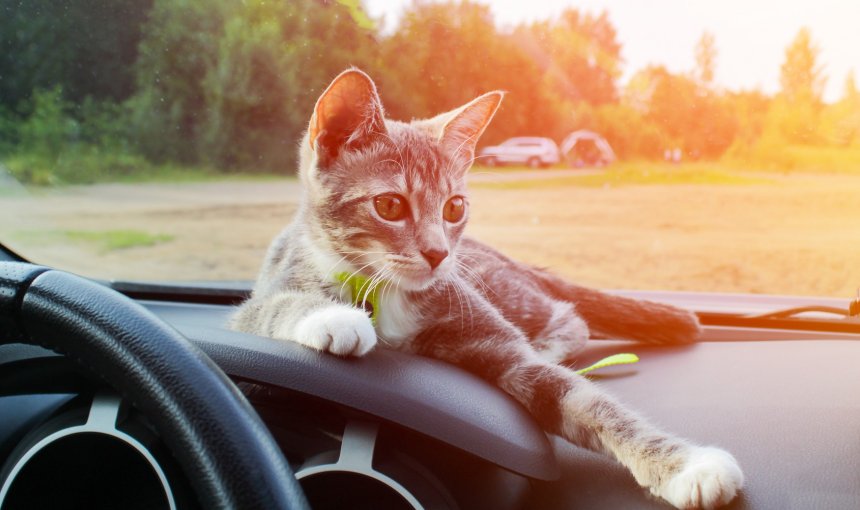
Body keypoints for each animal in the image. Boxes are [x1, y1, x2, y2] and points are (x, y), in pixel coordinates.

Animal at [232, 68, 744, 510]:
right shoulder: (265, 295)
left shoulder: (491, 334)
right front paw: (334, 315)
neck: (387, 293)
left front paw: (686, 465)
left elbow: (588, 402)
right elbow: (272, 307)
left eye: (455, 207)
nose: (438, 254)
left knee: (568, 317)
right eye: (390, 205)